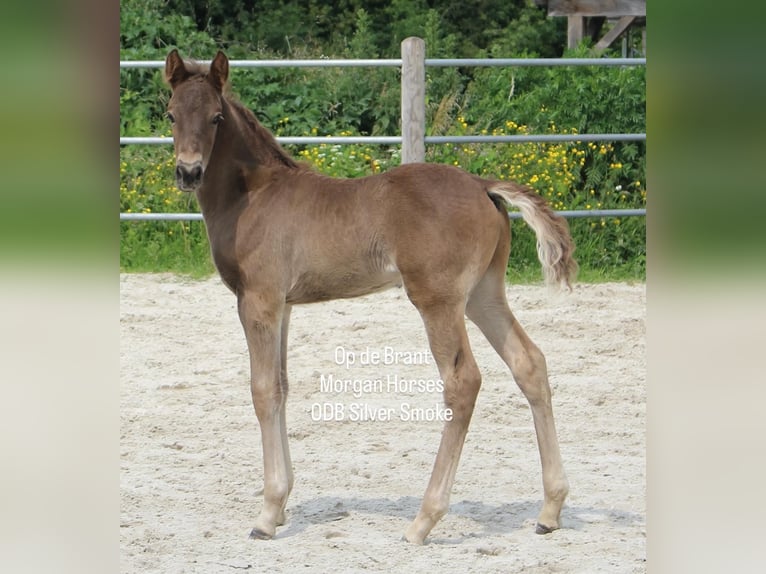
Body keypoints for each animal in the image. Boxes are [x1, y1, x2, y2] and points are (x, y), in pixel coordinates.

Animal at [163, 49, 577, 544]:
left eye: (216, 117)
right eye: (171, 114)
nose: (189, 172)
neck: (254, 196)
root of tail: (482, 185)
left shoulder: (257, 300)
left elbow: (262, 390)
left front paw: (267, 514)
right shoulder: (282, 305)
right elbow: (282, 386)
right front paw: (281, 505)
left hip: (437, 300)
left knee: (463, 383)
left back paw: (423, 520)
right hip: (483, 295)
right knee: (529, 363)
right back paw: (550, 509)